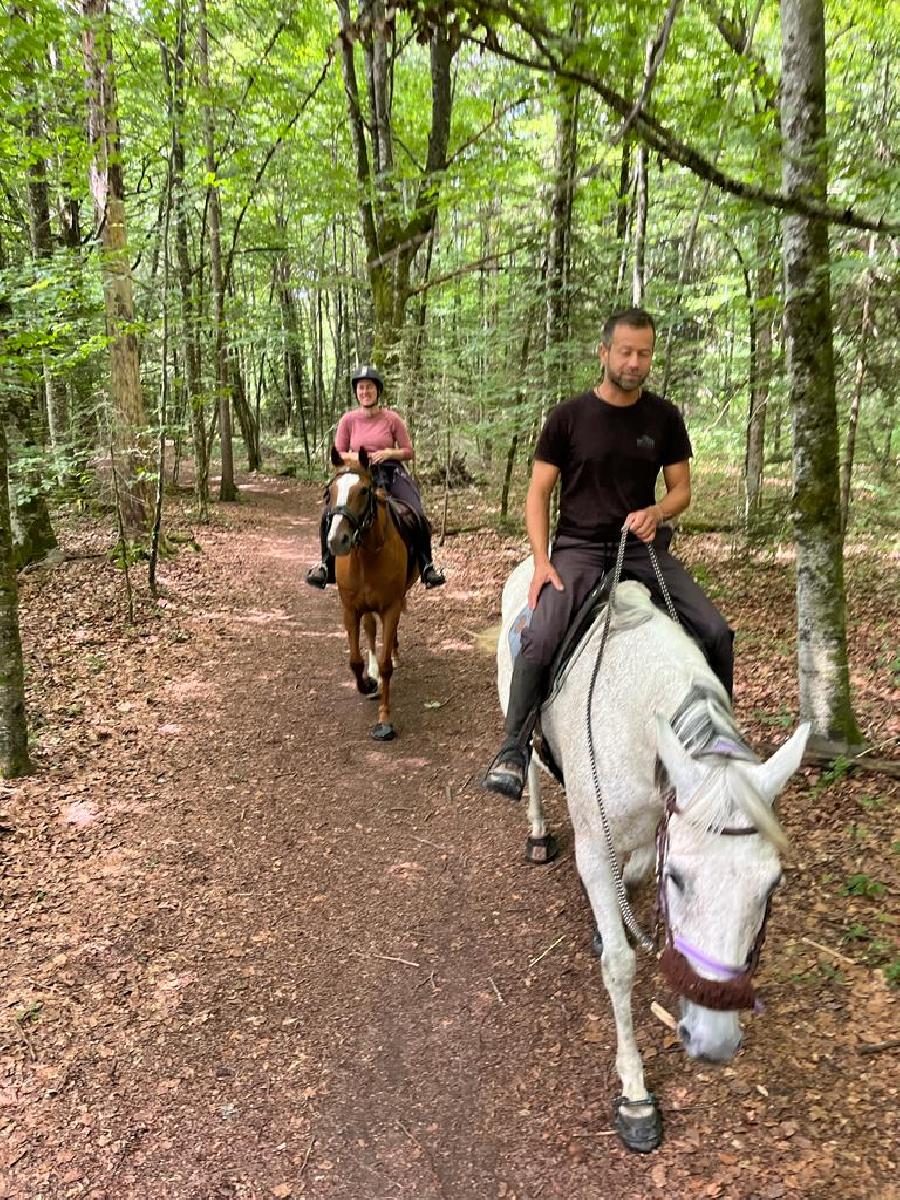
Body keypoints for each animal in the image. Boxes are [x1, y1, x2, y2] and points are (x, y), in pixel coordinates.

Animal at [328, 446, 420, 734]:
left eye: (363, 491)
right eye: (330, 490)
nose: (337, 540)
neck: (367, 556)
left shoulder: (390, 606)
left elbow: (386, 665)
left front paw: (384, 720)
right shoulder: (350, 609)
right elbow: (355, 661)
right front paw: (368, 682)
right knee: (370, 630)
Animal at [501, 561, 811, 1152]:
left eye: (772, 886)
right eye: (680, 879)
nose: (714, 1041)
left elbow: (636, 872)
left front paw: (616, 918)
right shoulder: (594, 846)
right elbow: (619, 964)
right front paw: (636, 1094)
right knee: (526, 758)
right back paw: (535, 828)